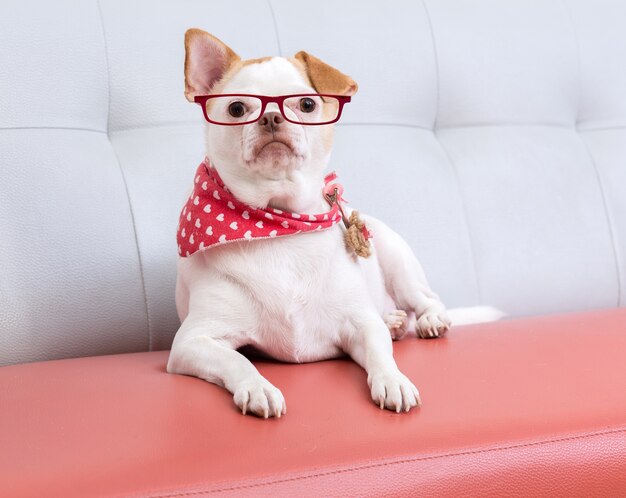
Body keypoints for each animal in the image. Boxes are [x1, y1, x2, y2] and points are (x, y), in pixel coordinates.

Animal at [167, 29, 502, 418]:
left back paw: (426, 320)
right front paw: (258, 387)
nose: (271, 118)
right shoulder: (192, 342)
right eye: (237, 108)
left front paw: (393, 380)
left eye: (306, 105)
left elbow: (380, 354)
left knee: (426, 300)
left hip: (397, 262)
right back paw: (394, 323)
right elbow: (238, 361)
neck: (281, 221)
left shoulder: (361, 325)